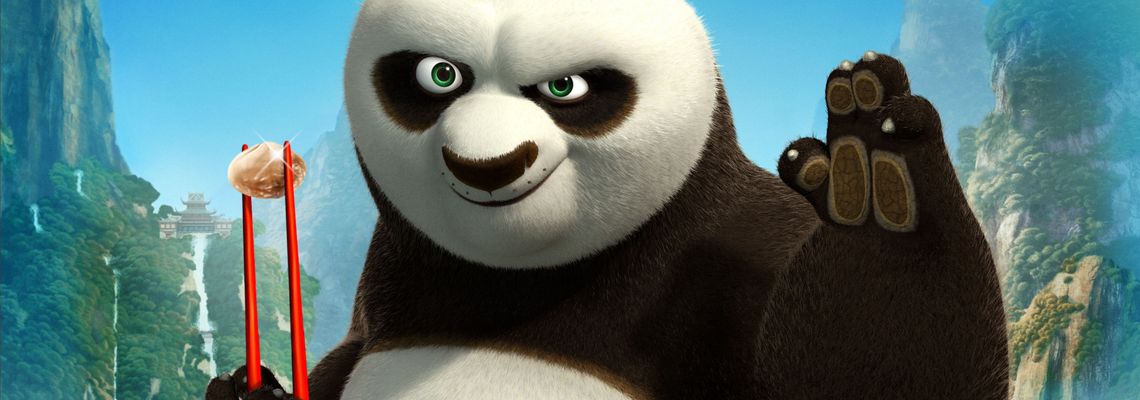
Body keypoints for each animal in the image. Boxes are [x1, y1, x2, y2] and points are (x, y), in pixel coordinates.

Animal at [207, 0, 1009, 399]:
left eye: (566, 89)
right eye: (440, 75)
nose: (490, 166)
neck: (522, 284)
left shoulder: (737, 252)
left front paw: (875, 187)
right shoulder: (385, 289)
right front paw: (251, 392)